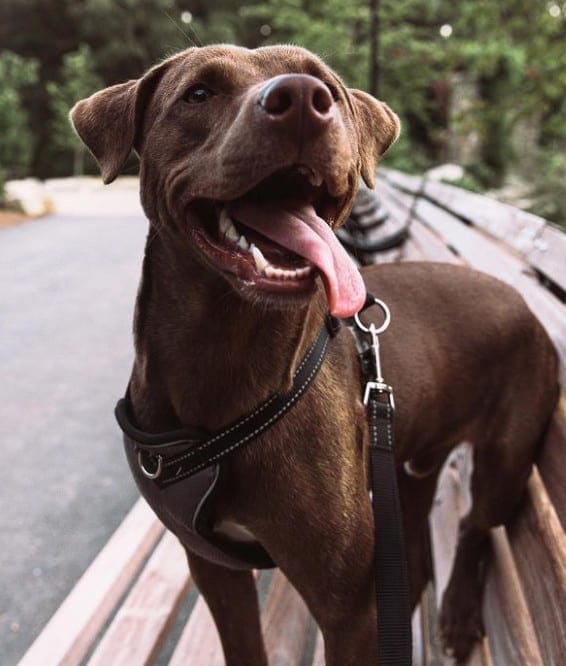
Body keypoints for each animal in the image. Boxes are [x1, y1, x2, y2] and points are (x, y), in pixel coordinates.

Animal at [71, 44, 560, 660]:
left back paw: (458, 614)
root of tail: (521, 297)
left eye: (323, 81)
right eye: (198, 92)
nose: (303, 99)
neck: (226, 360)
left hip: (506, 457)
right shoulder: (215, 570)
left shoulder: (347, 608)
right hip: (407, 472)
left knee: (476, 525)